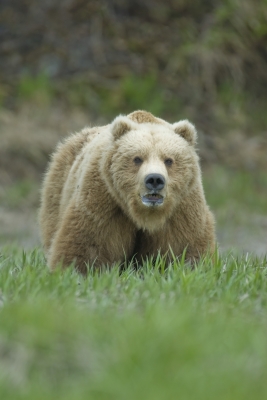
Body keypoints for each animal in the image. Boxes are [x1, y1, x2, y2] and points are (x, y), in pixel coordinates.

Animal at [39, 111, 216, 274]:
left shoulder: (181, 208)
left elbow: (184, 246)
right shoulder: (104, 199)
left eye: (169, 160)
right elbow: (88, 243)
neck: (145, 214)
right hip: (58, 186)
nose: (154, 179)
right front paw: (76, 270)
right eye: (137, 159)